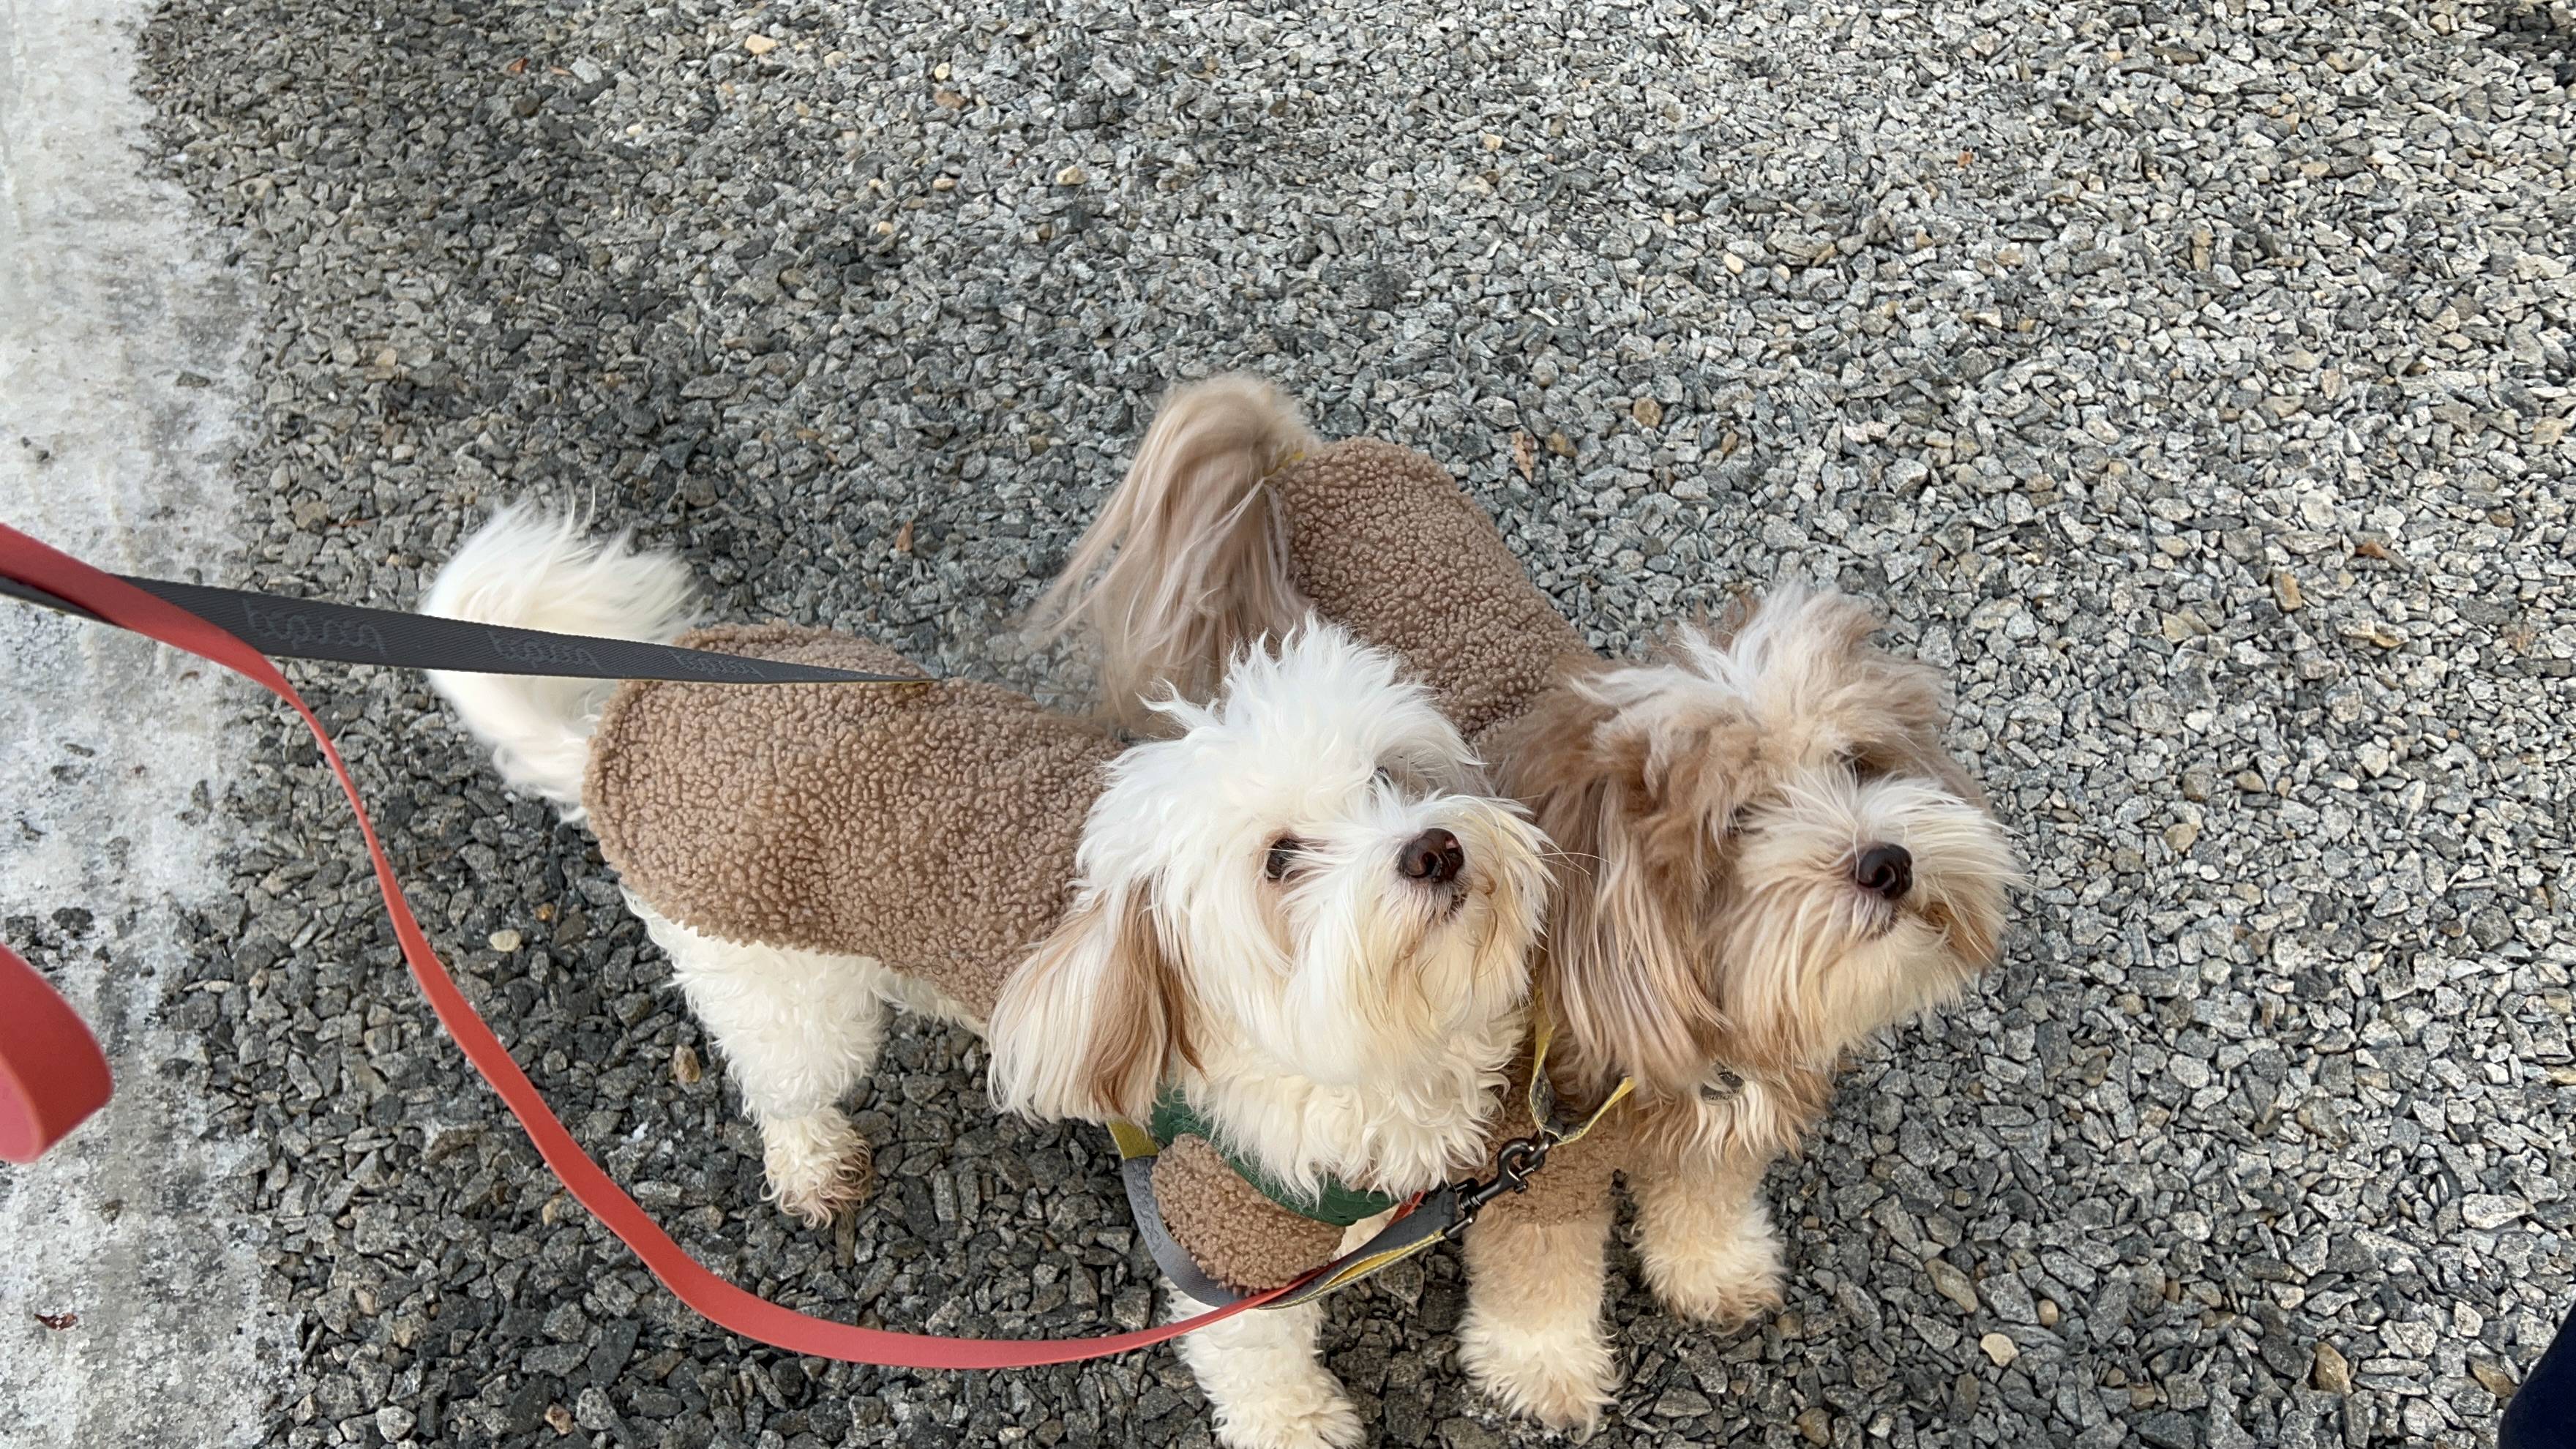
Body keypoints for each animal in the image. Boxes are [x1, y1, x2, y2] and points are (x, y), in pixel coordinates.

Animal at [1036, 373, 2019, 1423]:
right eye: (1738, 819)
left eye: (1858, 763)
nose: (1889, 862)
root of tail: (1299, 460)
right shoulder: (1530, 1167)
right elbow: (1539, 1271)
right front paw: (1543, 1368)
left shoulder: (1724, 1115)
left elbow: (1703, 1194)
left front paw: (1714, 1267)